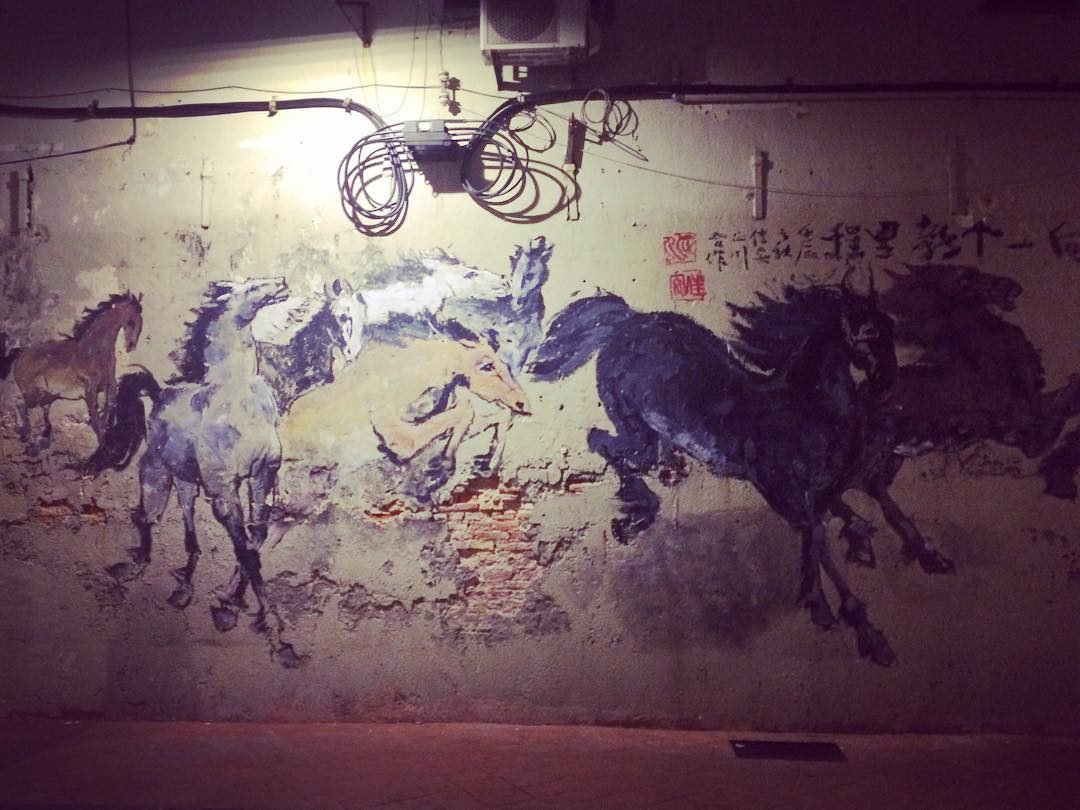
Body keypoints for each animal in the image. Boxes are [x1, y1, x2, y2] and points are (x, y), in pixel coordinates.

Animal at [0, 292, 143, 453]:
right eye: (131, 322)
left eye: (140, 324)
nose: (131, 346)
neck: (95, 351)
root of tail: (20, 355)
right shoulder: (90, 390)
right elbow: (95, 414)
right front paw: (102, 443)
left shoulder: (109, 384)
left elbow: (110, 404)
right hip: (34, 393)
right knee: (20, 404)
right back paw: (26, 434)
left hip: (46, 395)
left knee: (30, 407)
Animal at [530, 277, 900, 665]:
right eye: (870, 331)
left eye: (891, 327)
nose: (887, 382)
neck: (802, 407)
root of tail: (629, 322)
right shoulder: (775, 484)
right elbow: (814, 533)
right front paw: (849, 623)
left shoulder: (820, 486)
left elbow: (833, 520)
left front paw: (860, 552)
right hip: (633, 427)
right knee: (603, 442)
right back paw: (636, 516)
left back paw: (667, 477)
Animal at [827, 263, 1080, 572]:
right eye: (964, 279)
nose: (1014, 286)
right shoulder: (1021, 416)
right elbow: (1061, 411)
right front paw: (1062, 478)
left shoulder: (1015, 424)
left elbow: (1060, 411)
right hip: (873, 448)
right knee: (838, 490)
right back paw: (864, 542)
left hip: (891, 456)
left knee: (872, 487)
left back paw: (928, 554)